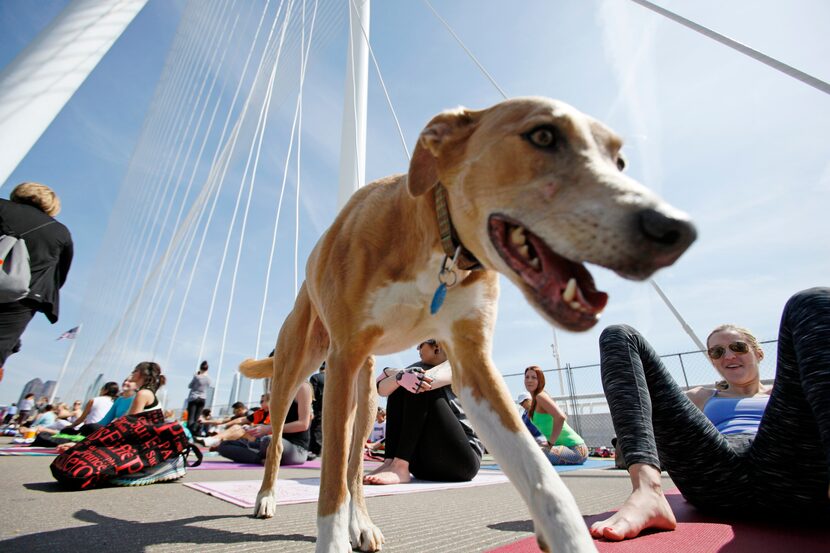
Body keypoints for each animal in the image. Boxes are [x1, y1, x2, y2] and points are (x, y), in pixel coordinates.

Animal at [244, 98, 700, 552]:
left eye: (619, 161)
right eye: (543, 135)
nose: (676, 229)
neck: (436, 238)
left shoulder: (474, 368)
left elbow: (543, 479)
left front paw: (569, 537)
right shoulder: (344, 358)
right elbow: (330, 487)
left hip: (365, 397)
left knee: (354, 466)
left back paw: (363, 524)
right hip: (300, 373)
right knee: (285, 444)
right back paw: (267, 497)